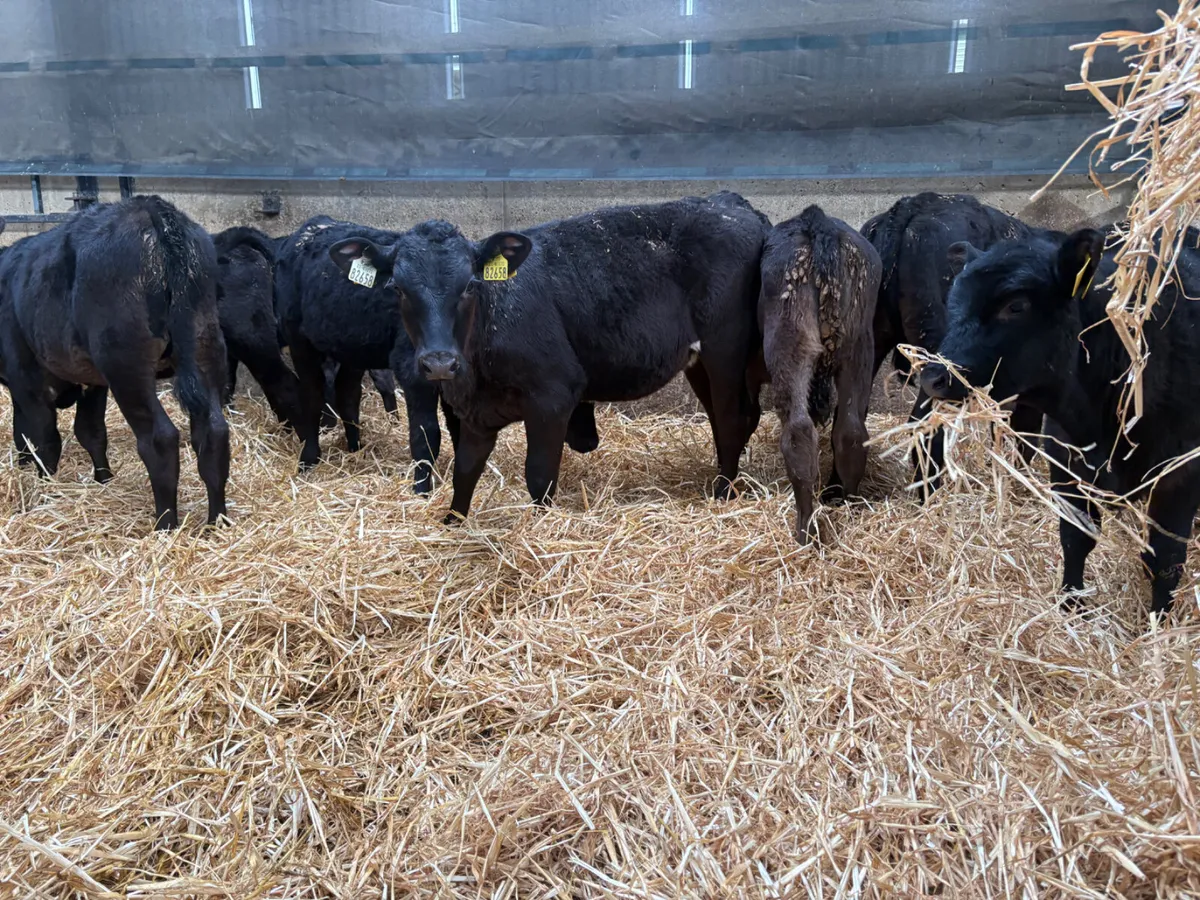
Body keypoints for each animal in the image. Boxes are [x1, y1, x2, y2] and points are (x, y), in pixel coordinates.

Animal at [0, 196, 230, 530]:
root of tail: (152, 208)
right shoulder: (92, 383)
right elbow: (91, 432)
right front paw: (103, 480)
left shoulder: (27, 381)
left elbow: (40, 438)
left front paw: (44, 487)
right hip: (205, 345)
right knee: (213, 431)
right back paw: (218, 522)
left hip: (126, 365)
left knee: (159, 439)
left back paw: (165, 525)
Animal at [275, 215, 600, 494]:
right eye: (397, 288)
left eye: (470, 284)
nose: (439, 363)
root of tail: (314, 226)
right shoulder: (413, 371)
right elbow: (426, 434)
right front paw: (422, 491)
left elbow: (458, 428)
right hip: (299, 339)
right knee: (312, 394)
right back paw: (308, 460)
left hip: (352, 349)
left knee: (347, 394)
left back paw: (355, 447)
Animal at [325, 191, 765, 521]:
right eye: (397, 288)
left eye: (469, 285)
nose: (439, 363)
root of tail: (727, 201)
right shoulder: (478, 412)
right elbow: (465, 473)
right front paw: (452, 523)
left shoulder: (554, 397)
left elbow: (539, 477)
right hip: (699, 361)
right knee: (725, 418)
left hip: (726, 347)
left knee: (732, 418)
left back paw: (723, 494)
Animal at [759, 206, 881, 543]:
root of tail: (819, 224)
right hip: (859, 346)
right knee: (851, 431)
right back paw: (848, 506)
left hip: (789, 343)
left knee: (799, 432)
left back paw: (805, 532)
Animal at [920, 227, 1200, 617]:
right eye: (953, 303)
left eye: (1015, 306)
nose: (933, 377)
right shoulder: (1066, 459)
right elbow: (1074, 537)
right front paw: (1070, 605)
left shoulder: (1180, 473)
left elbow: (1166, 559)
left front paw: (1157, 621)